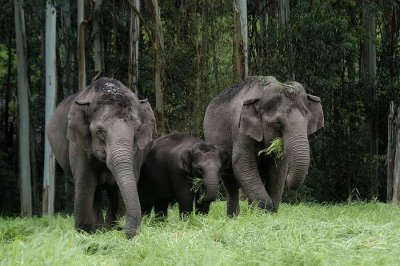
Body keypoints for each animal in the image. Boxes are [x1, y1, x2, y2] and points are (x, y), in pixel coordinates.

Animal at [47, 76, 157, 237]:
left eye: (137, 131)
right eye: (99, 130)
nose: (132, 233)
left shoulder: (138, 152)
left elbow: (121, 186)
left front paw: (114, 229)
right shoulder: (79, 144)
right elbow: (85, 182)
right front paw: (85, 233)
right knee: (95, 190)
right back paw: (98, 229)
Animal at [205, 76, 324, 215]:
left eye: (308, 121)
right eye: (278, 123)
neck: (263, 91)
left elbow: (279, 169)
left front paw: (266, 214)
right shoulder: (239, 130)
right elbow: (242, 163)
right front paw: (264, 212)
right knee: (230, 181)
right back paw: (233, 217)